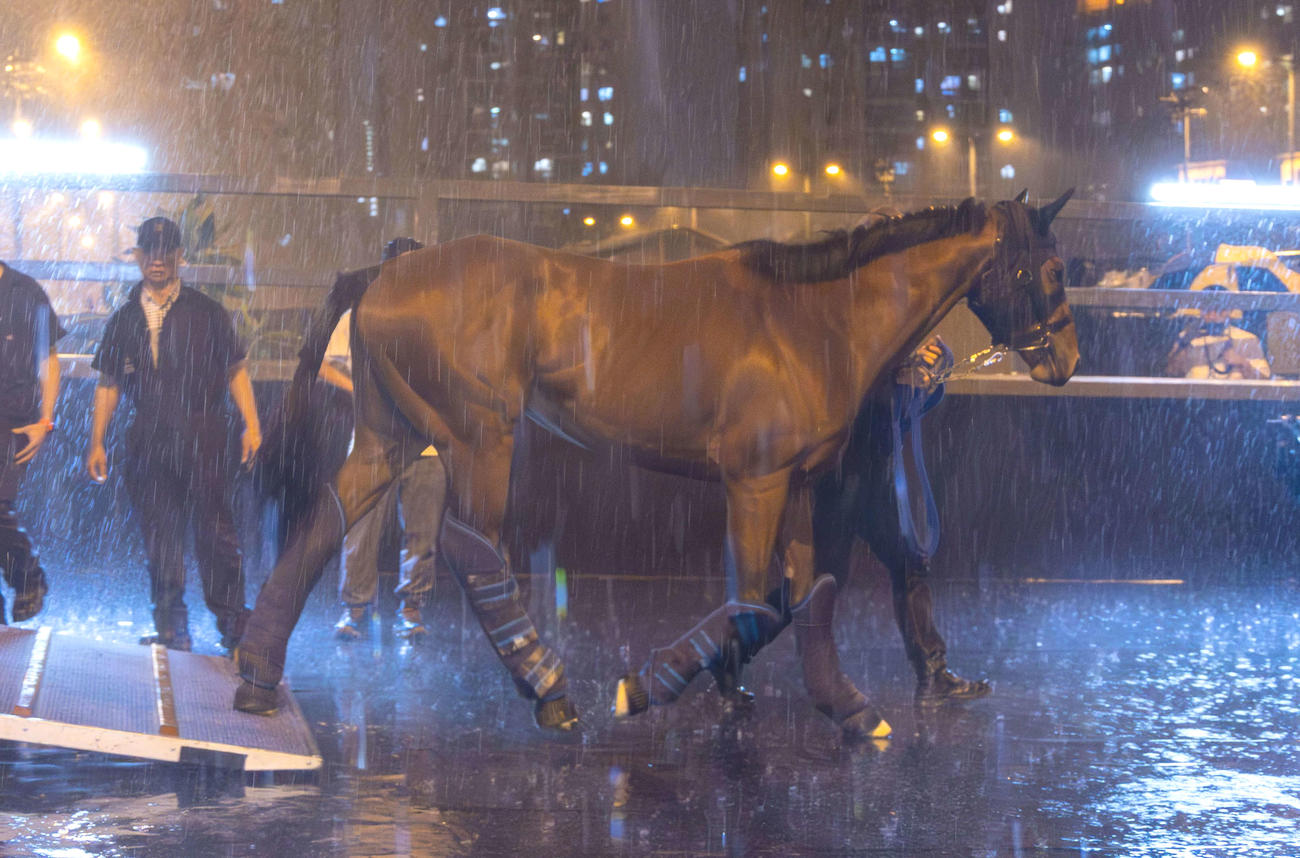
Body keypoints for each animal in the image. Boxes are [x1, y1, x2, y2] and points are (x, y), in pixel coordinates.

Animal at [232, 190, 1078, 738]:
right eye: (1054, 269)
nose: (1066, 360)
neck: (813, 319)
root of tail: (387, 271)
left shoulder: (801, 485)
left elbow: (802, 591)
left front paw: (832, 700)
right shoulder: (755, 480)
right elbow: (757, 596)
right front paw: (649, 687)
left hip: (392, 435)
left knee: (322, 521)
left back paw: (257, 674)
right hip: (480, 436)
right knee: (472, 551)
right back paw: (550, 692)